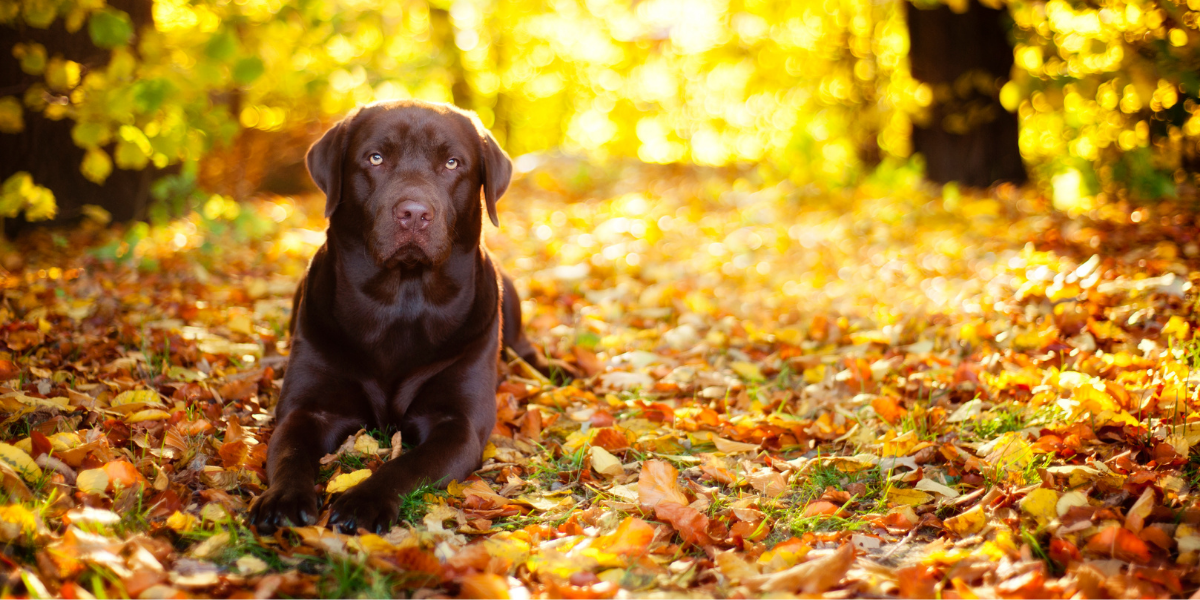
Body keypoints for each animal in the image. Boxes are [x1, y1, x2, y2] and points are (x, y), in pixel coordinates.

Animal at [250, 99, 547, 535]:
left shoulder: (457, 423)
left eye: (453, 163)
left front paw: (364, 502)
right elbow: (289, 454)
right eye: (376, 158)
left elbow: (407, 465)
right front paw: (283, 499)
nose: (414, 213)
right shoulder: (308, 408)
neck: (401, 304)